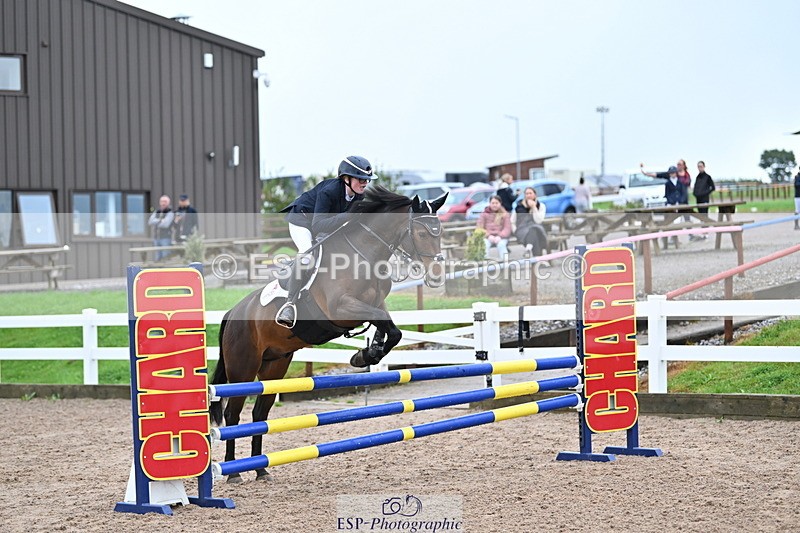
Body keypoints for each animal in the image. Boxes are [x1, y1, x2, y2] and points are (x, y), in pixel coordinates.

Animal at [209, 185, 447, 483]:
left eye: (440, 231)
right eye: (422, 233)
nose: (437, 276)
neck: (364, 255)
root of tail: (232, 313)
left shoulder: (375, 304)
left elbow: (391, 330)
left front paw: (367, 354)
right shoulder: (342, 308)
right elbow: (387, 326)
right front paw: (366, 355)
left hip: (274, 366)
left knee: (259, 413)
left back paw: (261, 469)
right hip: (243, 367)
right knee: (232, 413)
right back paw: (233, 472)